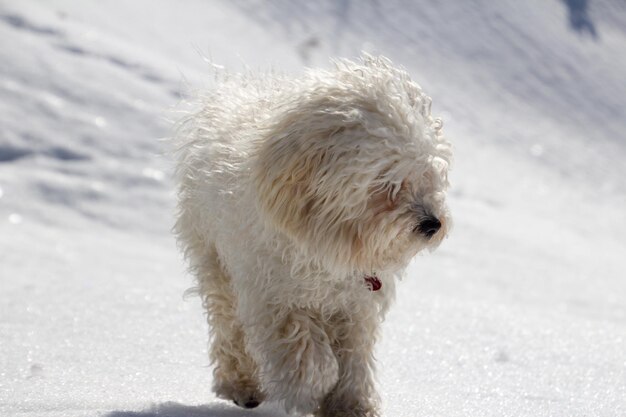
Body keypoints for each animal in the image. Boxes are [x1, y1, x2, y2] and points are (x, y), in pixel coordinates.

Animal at [173, 56, 450, 416]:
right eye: (387, 182)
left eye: (426, 175)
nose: (432, 224)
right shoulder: (275, 297)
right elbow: (305, 350)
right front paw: (314, 385)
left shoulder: (355, 306)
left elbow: (355, 357)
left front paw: (352, 405)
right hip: (215, 262)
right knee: (229, 326)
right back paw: (241, 384)